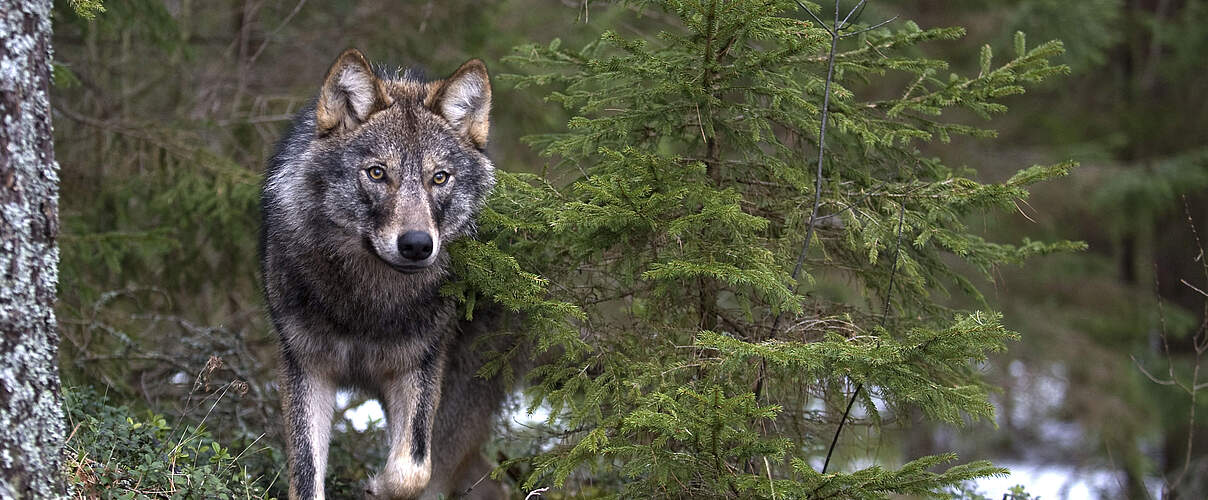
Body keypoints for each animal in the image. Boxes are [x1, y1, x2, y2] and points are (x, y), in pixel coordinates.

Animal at [260, 48, 509, 499]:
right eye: (377, 173)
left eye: (439, 178)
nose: (417, 244)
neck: (368, 304)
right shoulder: (306, 366)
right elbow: (305, 473)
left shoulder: (420, 367)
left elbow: (412, 469)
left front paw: (375, 486)